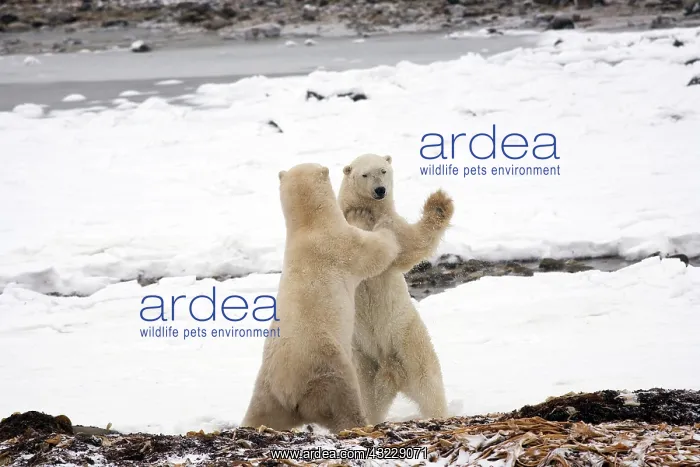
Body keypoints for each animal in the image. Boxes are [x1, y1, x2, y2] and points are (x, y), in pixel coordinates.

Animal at [240, 162, 403, 433]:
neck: (309, 226)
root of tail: (289, 389)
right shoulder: (342, 245)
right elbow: (375, 251)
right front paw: (378, 223)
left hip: (266, 389)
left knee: (259, 413)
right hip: (328, 367)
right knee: (345, 402)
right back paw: (363, 424)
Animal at [337, 153, 454, 425]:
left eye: (383, 170)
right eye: (364, 174)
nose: (380, 190)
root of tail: (392, 373)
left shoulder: (394, 225)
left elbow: (412, 244)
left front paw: (439, 202)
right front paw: (359, 216)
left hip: (408, 340)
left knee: (428, 385)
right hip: (363, 358)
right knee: (368, 395)